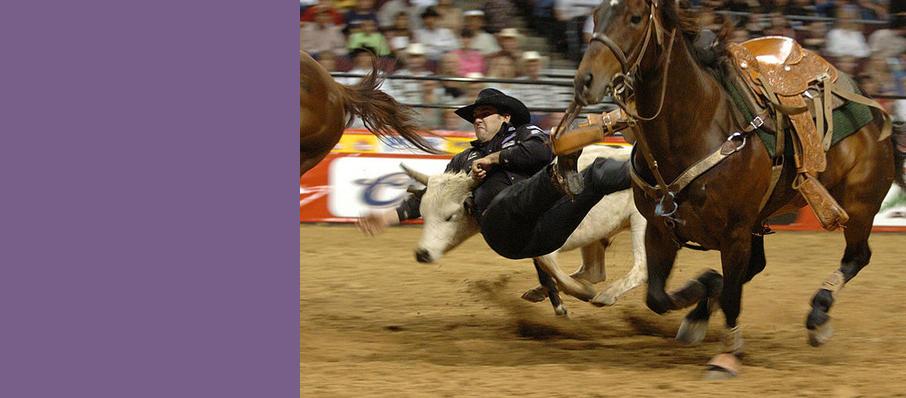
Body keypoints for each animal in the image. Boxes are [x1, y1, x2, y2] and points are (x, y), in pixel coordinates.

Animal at [568, 0, 900, 380]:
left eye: (635, 18)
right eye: (595, 16)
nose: (584, 80)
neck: (696, 127)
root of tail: (875, 109)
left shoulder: (735, 232)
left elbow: (729, 296)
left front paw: (726, 356)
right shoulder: (659, 229)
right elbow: (659, 296)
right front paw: (701, 296)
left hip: (859, 206)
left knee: (857, 257)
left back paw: (818, 316)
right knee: (751, 269)